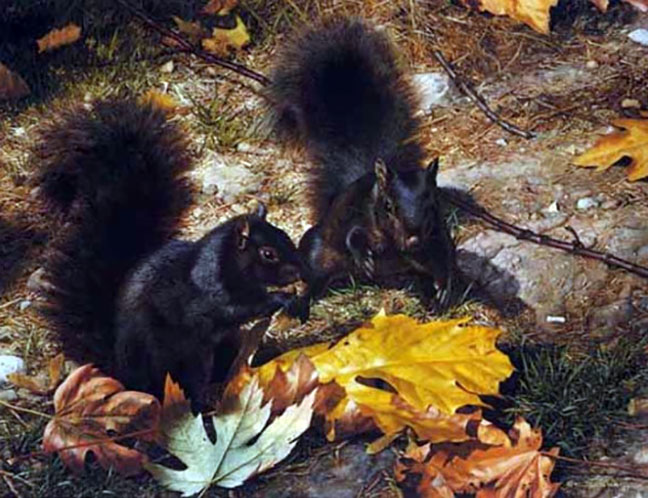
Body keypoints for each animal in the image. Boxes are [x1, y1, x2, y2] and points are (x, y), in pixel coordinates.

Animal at [34, 99, 304, 404]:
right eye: (268, 254)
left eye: (285, 235)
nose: (299, 270)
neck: (225, 262)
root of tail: (121, 371)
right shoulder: (209, 296)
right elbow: (239, 308)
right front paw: (282, 297)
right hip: (178, 361)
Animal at [268, 18, 456, 315]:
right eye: (388, 206)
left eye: (432, 203)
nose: (413, 239)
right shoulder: (356, 213)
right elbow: (353, 235)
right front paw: (362, 254)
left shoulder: (436, 234)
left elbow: (444, 259)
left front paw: (443, 289)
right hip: (317, 252)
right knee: (315, 279)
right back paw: (299, 304)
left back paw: (426, 295)